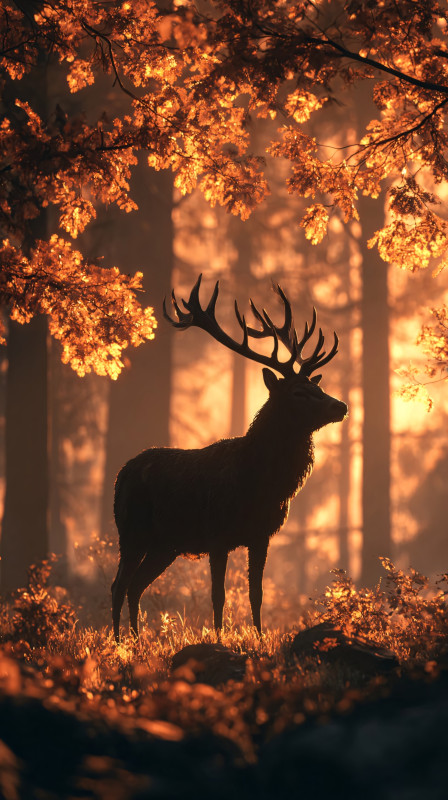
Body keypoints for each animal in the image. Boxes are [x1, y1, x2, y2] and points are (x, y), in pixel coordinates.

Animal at [112, 275, 347, 642]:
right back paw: (119, 642)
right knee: (118, 585)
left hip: (165, 544)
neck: (261, 484)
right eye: (298, 392)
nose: (341, 405)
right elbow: (218, 595)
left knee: (136, 585)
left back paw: (137, 640)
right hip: (132, 530)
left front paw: (260, 638)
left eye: (317, 387)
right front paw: (220, 638)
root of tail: (121, 474)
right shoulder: (217, 534)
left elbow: (256, 593)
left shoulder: (261, 535)